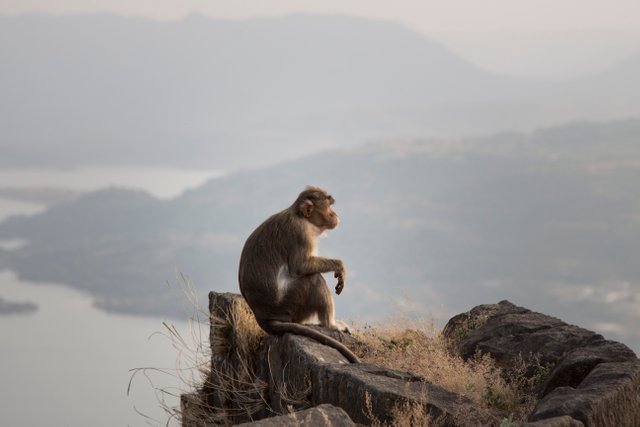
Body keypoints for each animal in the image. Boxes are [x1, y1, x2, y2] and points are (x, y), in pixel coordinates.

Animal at [240, 186, 360, 362]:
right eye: (328, 207)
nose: (335, 215)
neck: (301, 217)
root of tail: (263, 318)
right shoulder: (301, 233)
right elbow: (300, 267)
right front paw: (340, 266)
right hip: (291, 306)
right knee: (313, 278)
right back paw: (331, 324)